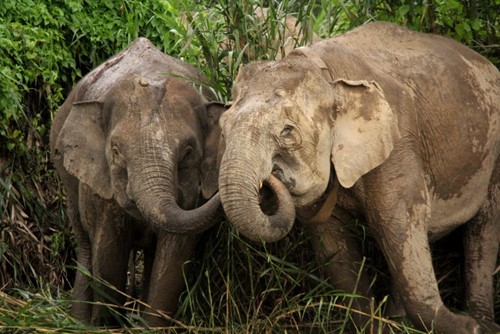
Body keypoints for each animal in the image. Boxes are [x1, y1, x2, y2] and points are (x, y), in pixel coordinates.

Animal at [49, 37, 225, 326]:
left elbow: (174, 257)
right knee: (85, 245)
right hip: (66, 175)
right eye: (116, 151)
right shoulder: (100, 187)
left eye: (188, 154)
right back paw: (78, 321)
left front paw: (148, 327)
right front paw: (105, 326)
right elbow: (109, 254)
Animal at [217, 22, 498, 332]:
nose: (270, 178)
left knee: (484, 229)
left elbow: (399, 227)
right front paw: (377, 326)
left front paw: (470, 328)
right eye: (223, 128)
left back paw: (483, 322)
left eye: (288, 132)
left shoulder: (398, 145)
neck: (326, 74)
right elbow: (334, 247)